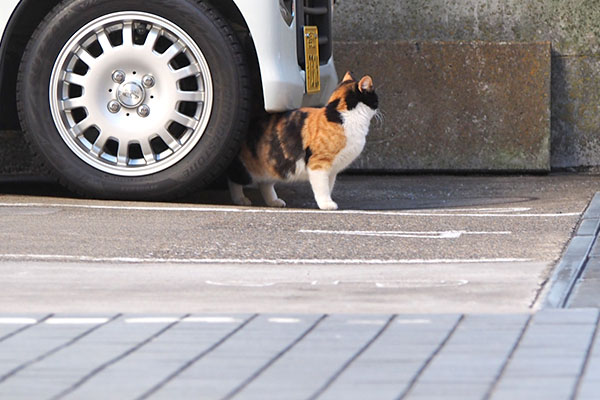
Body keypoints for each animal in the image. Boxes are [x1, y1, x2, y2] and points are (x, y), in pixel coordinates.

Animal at [227, 71, 378, 209]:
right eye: (375, 98)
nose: (378, 108)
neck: (341, 116)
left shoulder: (332, 171)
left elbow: (329, 186)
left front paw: (326, 201)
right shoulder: (318, 164)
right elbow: (322, 187)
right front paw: (326, 204)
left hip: (271, 165)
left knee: (264, 183)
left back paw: (274, 201)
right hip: (246, 168)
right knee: (234, 180)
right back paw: (240, 199)